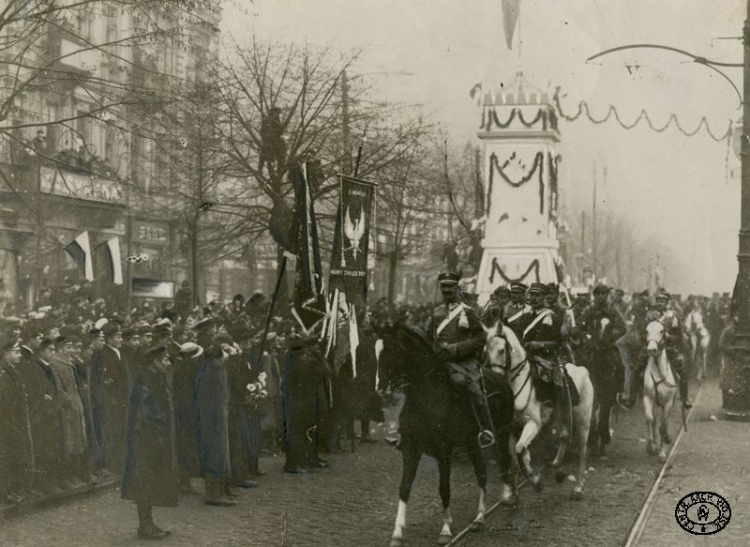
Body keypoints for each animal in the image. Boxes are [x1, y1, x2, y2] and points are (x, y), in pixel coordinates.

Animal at [382, 326, 516, 547]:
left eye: (390, 350)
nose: (381, 388)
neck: (427, 398)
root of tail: (502, 379)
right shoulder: (411, 450)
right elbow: (404, 488)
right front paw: (397, 533)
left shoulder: (443, 453)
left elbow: (444, 488)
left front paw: (445, 530)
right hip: (472, 443)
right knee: (482, 472)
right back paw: (480, 516)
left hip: (503, 433)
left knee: (503, 461)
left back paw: (500, 503)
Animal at [488, 326, 592, 500]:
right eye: (485, 350)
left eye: (502, 350)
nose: (494, 378)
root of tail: (581, 370)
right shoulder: (510, 428)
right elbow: (515, 459)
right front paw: (513, 496)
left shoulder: (534, 424)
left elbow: (520, 450)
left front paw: (536, 481)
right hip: (560, 417)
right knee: (563, 438)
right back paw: (557, 468)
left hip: (583, 421)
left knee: (582, 451)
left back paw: (577, 488)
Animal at [640, 322, 680, 462]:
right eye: (646, 331)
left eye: (662, 331)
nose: (651, 349)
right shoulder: (647, 398)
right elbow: (649, 419)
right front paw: (650, 446)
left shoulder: (668, 402)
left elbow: (663, 426)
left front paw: (662, 453)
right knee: (655, 419)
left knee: (664, 422)